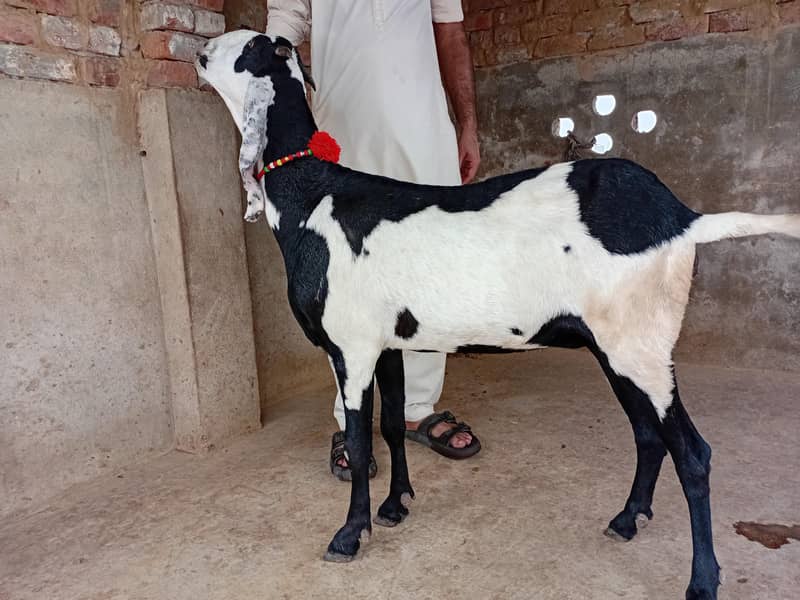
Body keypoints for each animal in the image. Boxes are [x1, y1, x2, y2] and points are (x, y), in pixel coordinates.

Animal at [197, 30, 800, 599]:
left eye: (245, 48)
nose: (200, 53)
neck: (314, 196)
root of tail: (682, 216)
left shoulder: (351, 347)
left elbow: (361, 439)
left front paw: (349, 534)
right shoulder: (387, 343)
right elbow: (391, 427)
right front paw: (395, 506)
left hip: (639, 348)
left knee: (693, 454)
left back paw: (702, 580)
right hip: (619, 349)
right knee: (649, 436)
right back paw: (628, 519)